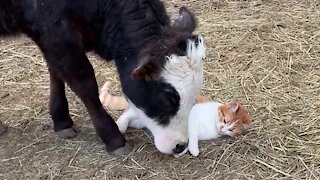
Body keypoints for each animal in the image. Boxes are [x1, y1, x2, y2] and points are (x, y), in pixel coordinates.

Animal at [99, 81, 251, 156]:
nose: (222, 129)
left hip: (143, 123)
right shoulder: (193, 115)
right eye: (225, 120)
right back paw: (120, 126)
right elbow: (192, 137)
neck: (212, 122)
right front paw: (193, 151)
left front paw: (181, 152)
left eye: (231, 130)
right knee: (128, 113)